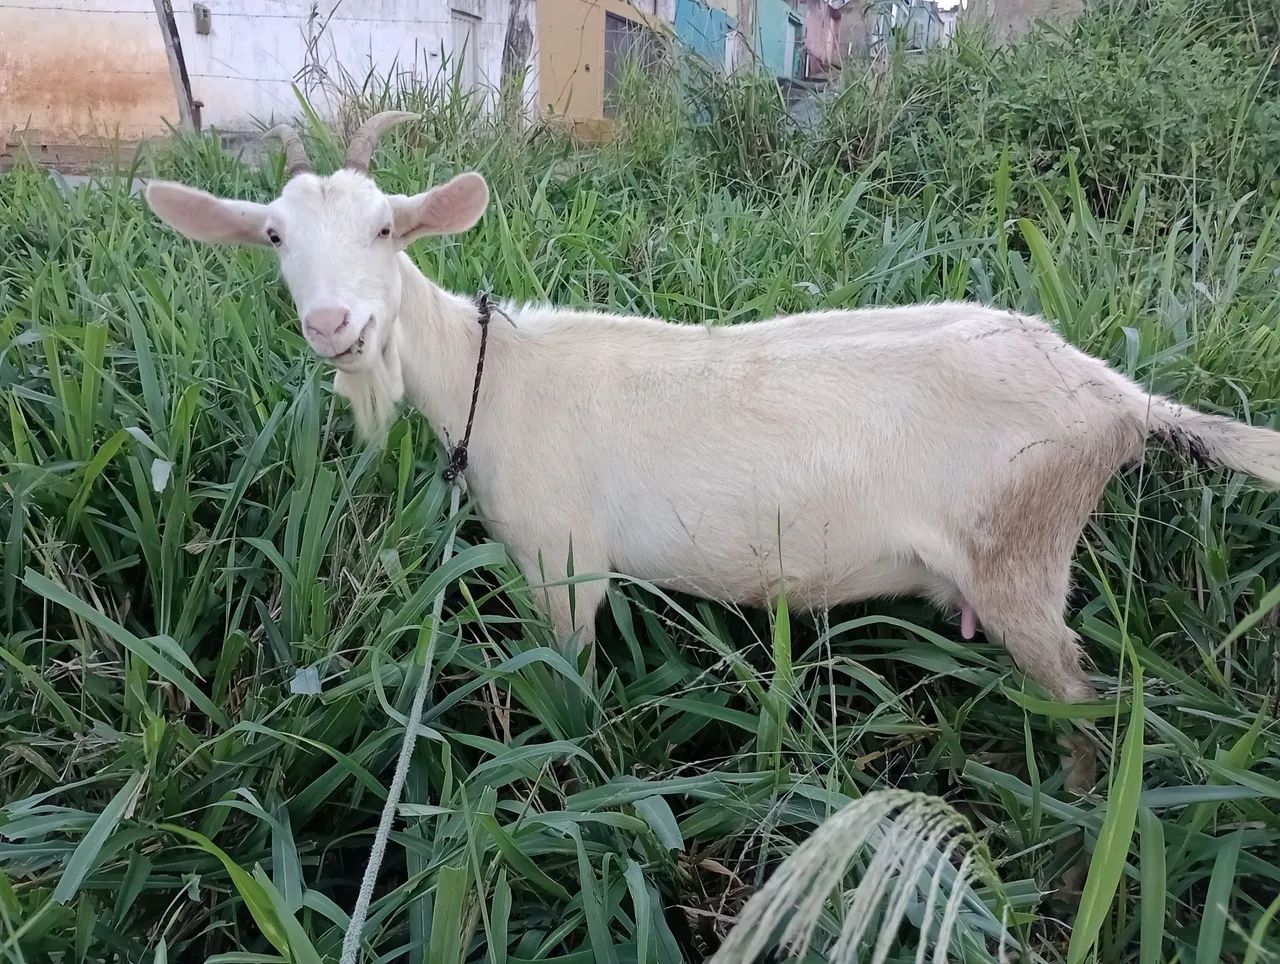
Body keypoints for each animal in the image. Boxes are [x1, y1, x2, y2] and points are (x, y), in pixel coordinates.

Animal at [144, 114, 1280, 792]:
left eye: (387, 228)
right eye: (275, 239)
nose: (333, 325)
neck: (488, 372)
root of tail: (1115, 394)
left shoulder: (561, 564)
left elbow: (572, 685)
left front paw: (576, 775)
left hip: (1022, 556)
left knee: (1081, 698)